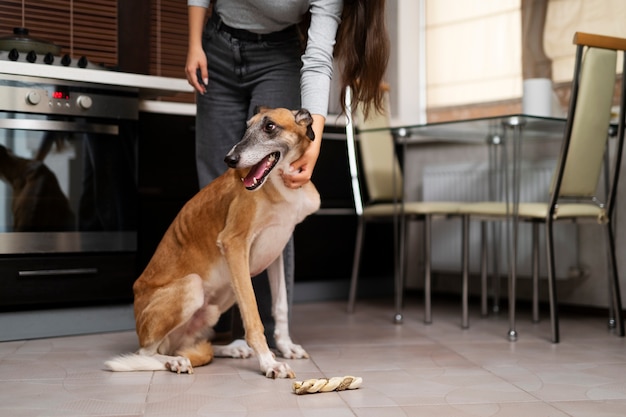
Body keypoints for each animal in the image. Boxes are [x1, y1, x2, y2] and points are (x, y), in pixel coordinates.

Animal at [105, 106, 320, 376]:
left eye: (269, 126)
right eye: (246, 127)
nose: (230, 160)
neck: (280, 183)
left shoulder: (277, 250)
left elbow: (280, 305)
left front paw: (285, 346)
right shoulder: (234, 244)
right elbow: (252, 315)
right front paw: (269, 363)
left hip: (220, 299)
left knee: (186, 345)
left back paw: (231, 349)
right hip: (194, 286)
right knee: (147, 353)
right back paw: (175, 362)